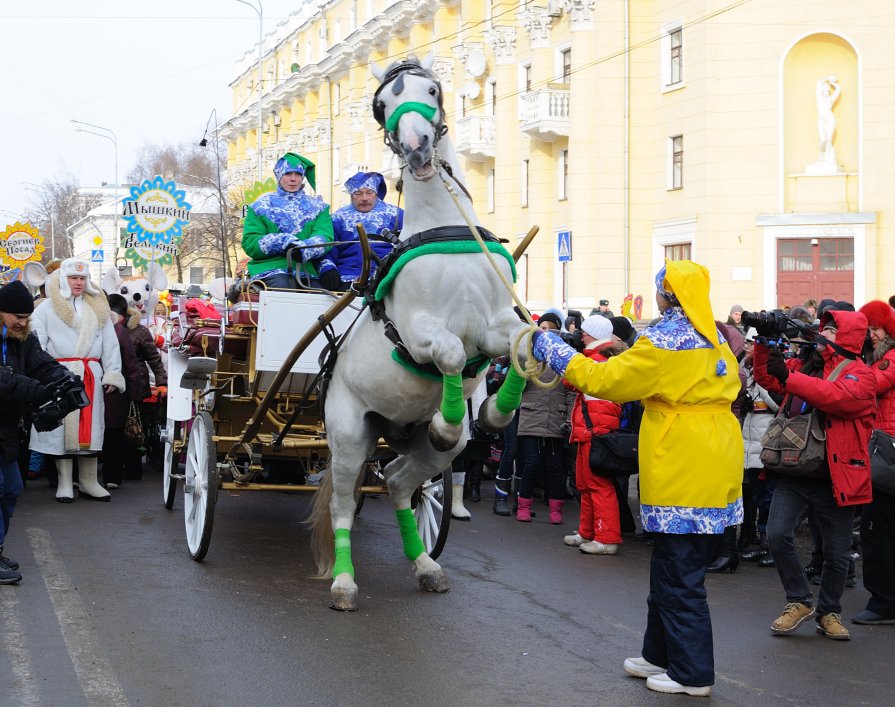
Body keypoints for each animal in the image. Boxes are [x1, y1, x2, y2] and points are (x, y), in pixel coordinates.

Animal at [308, 55, 532, 612]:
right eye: (383, 103)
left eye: (432, 90)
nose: (416, 144)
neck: (448, 235)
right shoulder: (418, 330)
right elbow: (450, 353)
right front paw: (452, 420)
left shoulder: (495, 324)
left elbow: (527, 344)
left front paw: (496, 413)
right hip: (350, 434)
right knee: (343, 504)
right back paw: (344, 582)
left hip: (424, 451)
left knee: (395, 482)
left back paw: (426, 564)